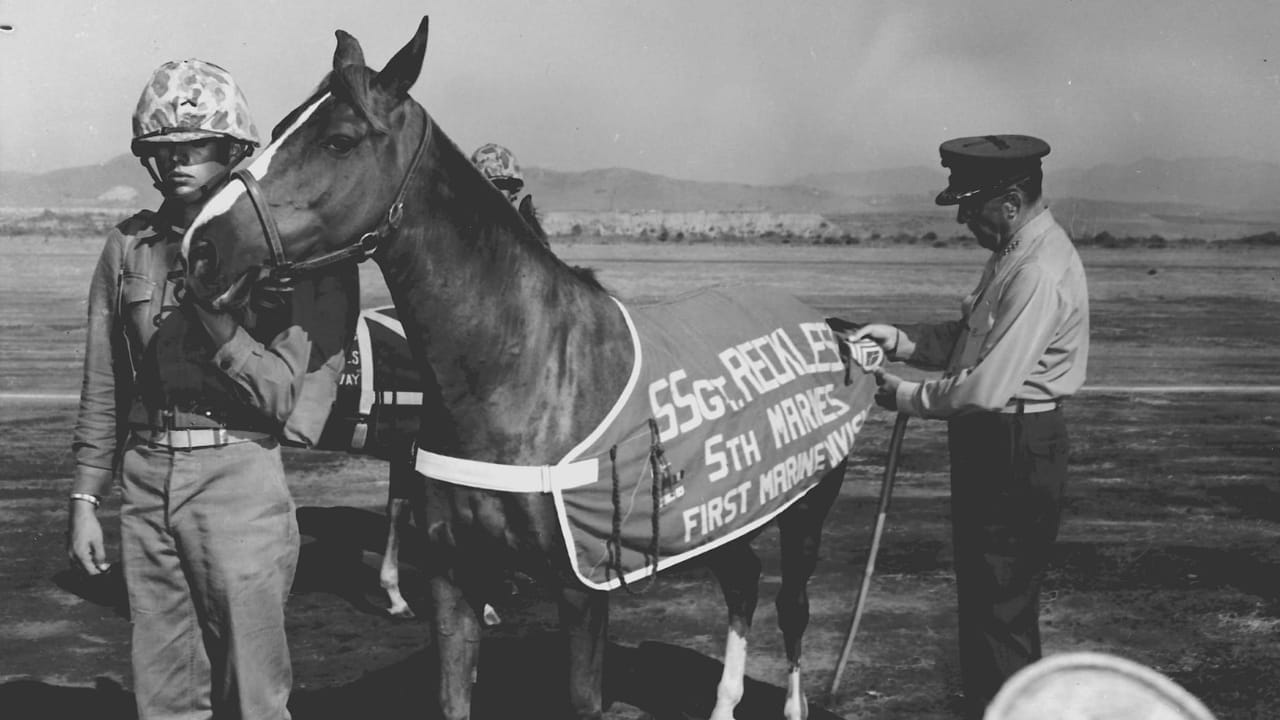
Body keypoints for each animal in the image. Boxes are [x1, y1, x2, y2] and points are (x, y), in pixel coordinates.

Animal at [181, 17, 879, 720]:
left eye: (339, 139)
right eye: (278, 128)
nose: (200, 245)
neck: (523, 379)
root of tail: (831, 329)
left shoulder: (582, 589)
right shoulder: (453, 577)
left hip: (805, 510)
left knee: (790, 605)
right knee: (742, 581)